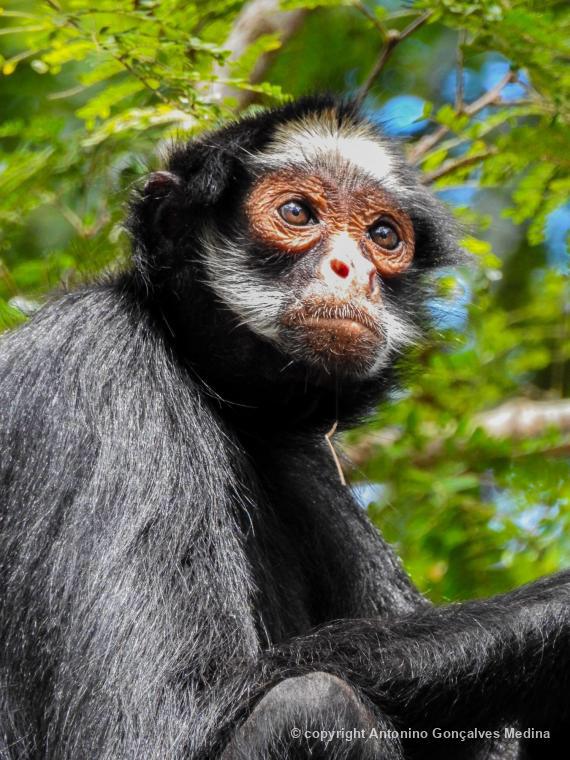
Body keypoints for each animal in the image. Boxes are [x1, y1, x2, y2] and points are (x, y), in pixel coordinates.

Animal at [0, 96, 564, 760]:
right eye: (297, 213)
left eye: (383, 236)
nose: (352, 270)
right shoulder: (101, 362)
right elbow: (148, 727)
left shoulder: (298, 452)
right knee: (313, 700)